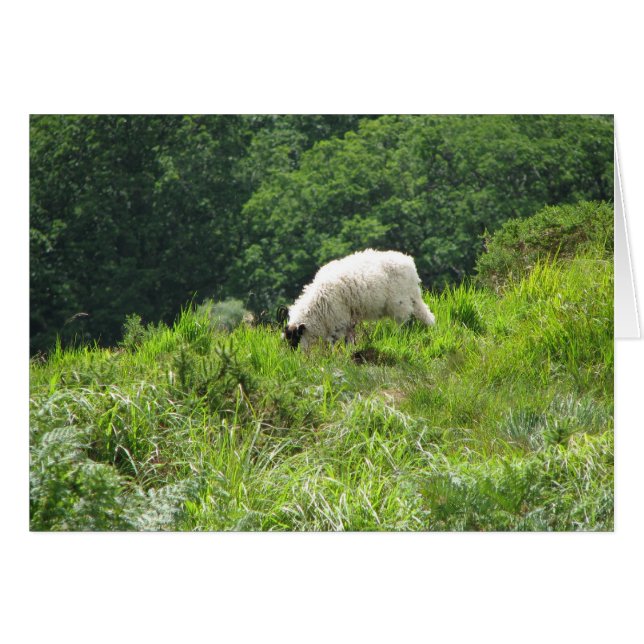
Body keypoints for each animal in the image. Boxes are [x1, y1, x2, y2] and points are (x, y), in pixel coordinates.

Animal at [283, 249, 435, 349]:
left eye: (296, 339)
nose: (297, 359)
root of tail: (408, 262)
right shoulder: (348, 320)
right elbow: (349, 337)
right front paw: (350, 350)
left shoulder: (338, 319)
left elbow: (335, 341)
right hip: (413, 297)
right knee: (424, 313)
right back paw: (431, 327)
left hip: (400, 302)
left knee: (404, 321)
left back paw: (402, 336)